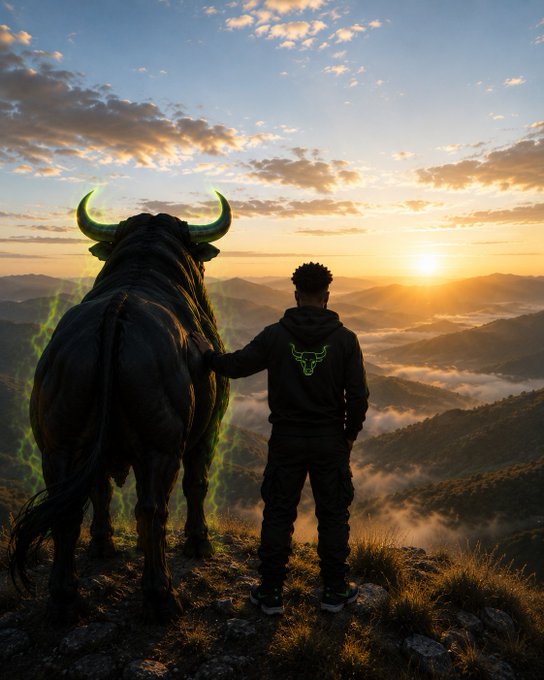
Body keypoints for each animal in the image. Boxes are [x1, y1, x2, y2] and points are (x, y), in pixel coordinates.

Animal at [9, 190, 231, 622]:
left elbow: (99, 492)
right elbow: (197, 485)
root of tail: (116, 312)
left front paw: (102, 545)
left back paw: (65, 598)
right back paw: (161, 596)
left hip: (58, 445)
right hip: (160, 448)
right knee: (152, 510)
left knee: (68, 509)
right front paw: (199, 543)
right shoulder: (208, 432)